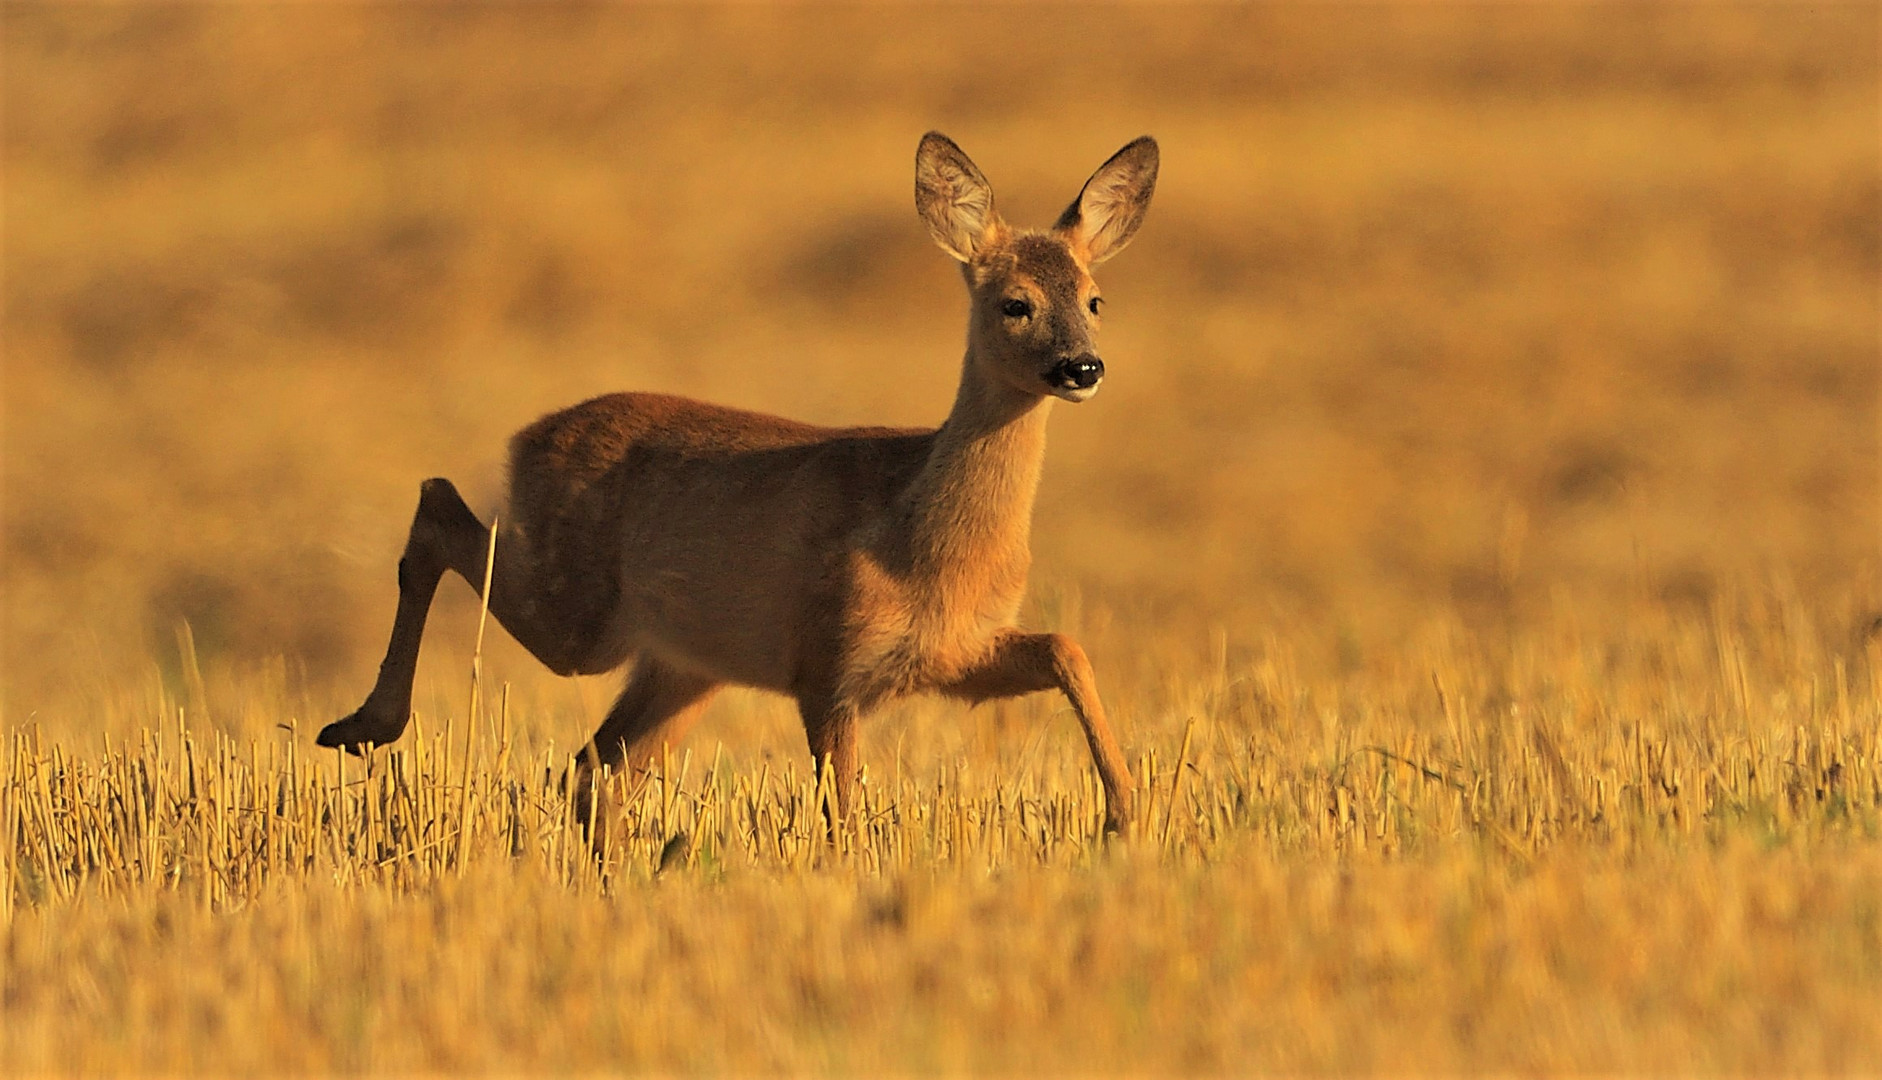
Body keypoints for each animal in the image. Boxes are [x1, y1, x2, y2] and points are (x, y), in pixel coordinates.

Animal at [316, 133, 1151, 839]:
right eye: (1015, 303)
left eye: (1095, 299)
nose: (1082, 367)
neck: (922, 536)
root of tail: (527, 438)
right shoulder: (827, 661)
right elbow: (842, 815)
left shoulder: (954, 656)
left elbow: (1066, 646)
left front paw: (1121, 814)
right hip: (576, 613)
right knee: (437, 504)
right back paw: (360, 726)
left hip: (685, 663)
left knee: (592, 766)